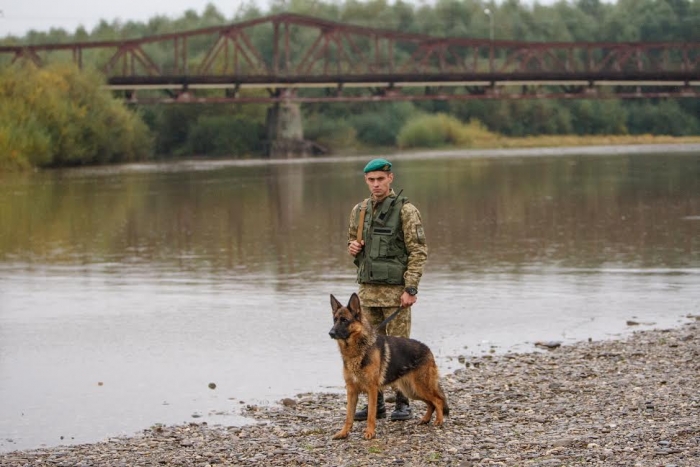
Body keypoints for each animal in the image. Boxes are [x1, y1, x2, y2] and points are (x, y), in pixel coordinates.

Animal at [328, 294, 448, 440]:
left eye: (344, 320)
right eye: (335, 320)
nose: (330, 333)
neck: (358, 349)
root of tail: (427, 349)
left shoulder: (372, 389)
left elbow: (371, 414)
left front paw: (370, 432)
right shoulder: (351, 391)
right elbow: (349, 415)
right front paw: (344, 432)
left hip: (420, 387)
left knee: (438, 400)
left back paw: (439, 420)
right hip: (412, 390)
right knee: (431, 403)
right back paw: (425, 419)